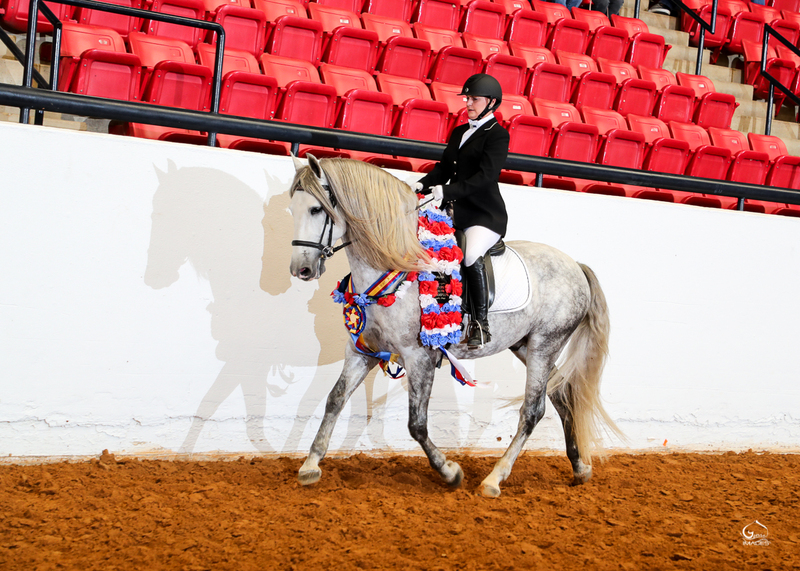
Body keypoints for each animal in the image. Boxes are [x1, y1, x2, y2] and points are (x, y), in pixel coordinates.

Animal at [288, 155, 623, 497]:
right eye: (293, 208)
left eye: (316, 209)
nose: (301, 269)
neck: (394, 266)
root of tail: (576, 266)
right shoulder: (361, 352)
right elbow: (335, 400)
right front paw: (310, 465)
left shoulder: (419, 357)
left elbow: (416, 424)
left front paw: (449, 472)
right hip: (525, 346)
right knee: (561, 394)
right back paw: (580, 467)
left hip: (545, 344)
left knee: (533, 411)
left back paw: (494, 478)